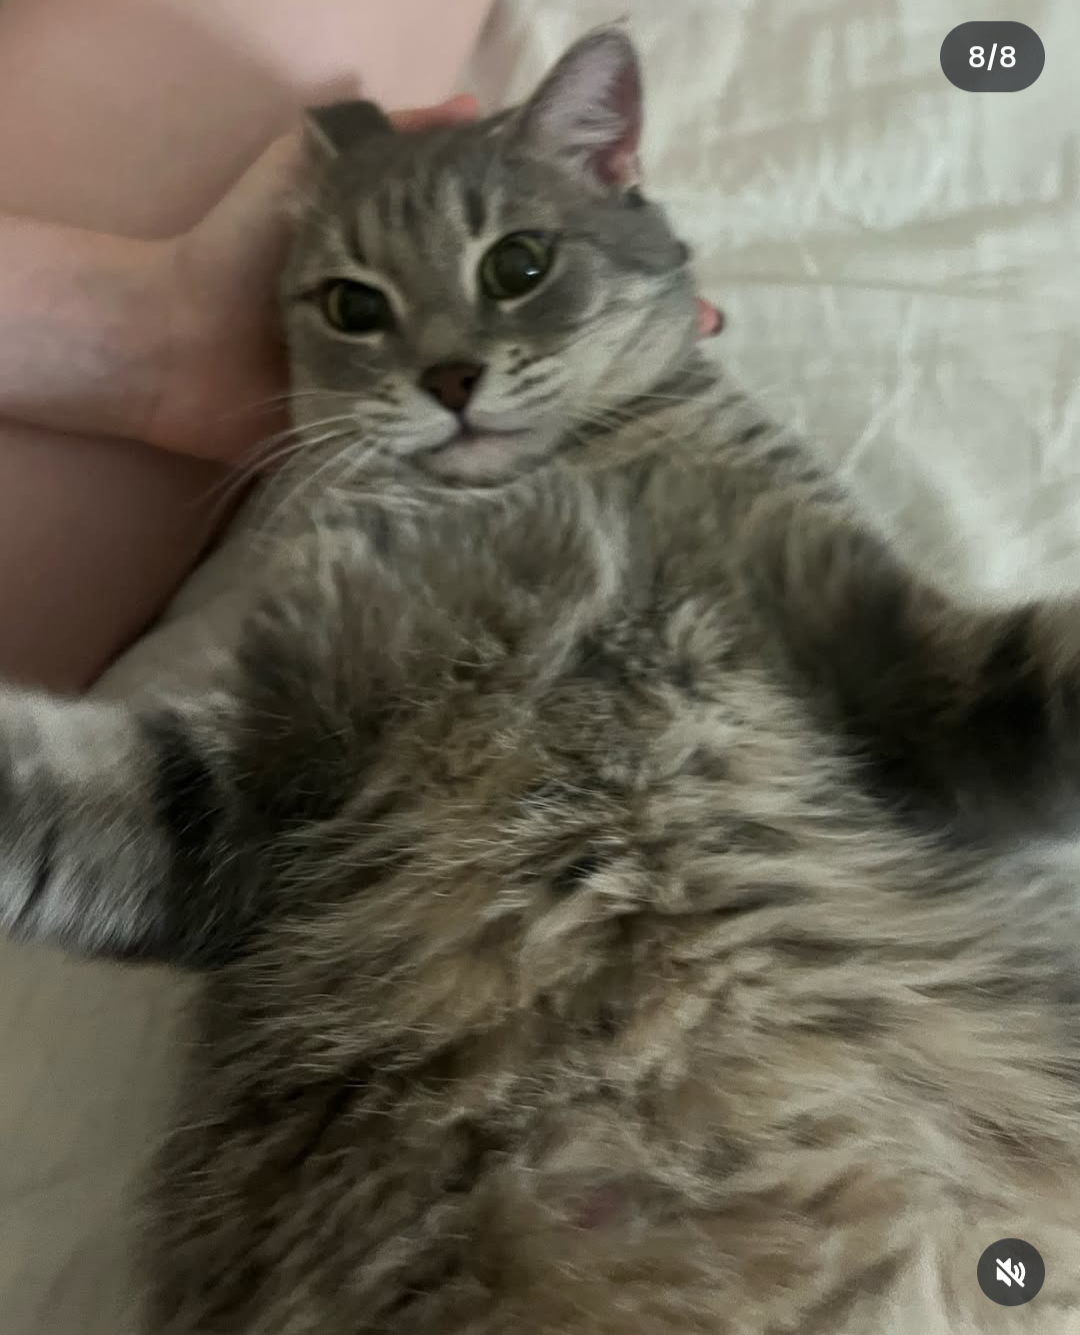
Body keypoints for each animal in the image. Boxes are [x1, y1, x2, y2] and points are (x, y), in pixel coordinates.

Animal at [3, 25, 1080, 1334]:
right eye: (354, 305)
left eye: (517, 264)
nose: (450, 378)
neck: (545, 489)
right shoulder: (256, 792)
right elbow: (73, 791)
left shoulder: (895, 665)